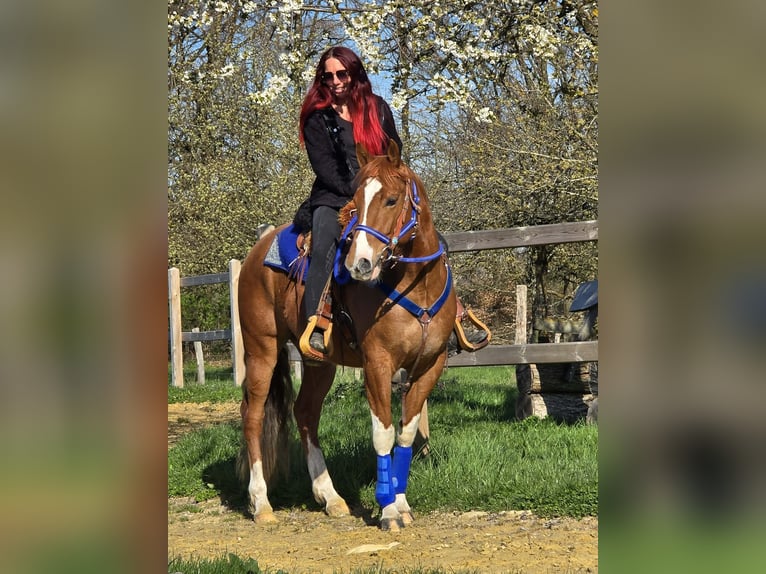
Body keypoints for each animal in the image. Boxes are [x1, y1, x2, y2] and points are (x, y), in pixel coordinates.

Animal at [237, 139, 456, 531]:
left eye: (392, 199)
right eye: (355, 198)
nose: (360, 264)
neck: (416, 287)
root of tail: (256, 252)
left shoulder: (429, 366)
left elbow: (406, 433)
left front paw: (402, 503)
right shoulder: (377, 364)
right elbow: (383, 433)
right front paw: (387, 509)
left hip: (319, 363)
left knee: (305, 413)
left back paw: (331, 497)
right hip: (261, 350)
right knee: (254, 414)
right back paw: (261, 502)